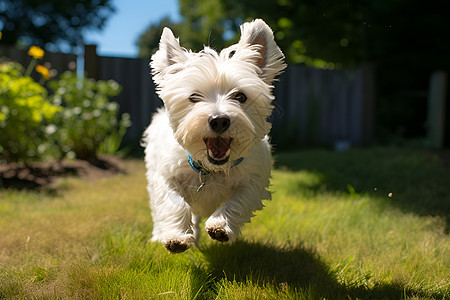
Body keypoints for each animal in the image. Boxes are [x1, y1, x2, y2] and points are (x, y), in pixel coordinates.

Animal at [142, 18, 286, 253]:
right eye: (193, 97)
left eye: (240, 96)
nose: (219, 120)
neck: (212, 169)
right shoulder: (166, 176)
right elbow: (175, 203)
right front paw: (176, 236)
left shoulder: (254, 179)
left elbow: (238, 201)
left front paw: (220, 225)